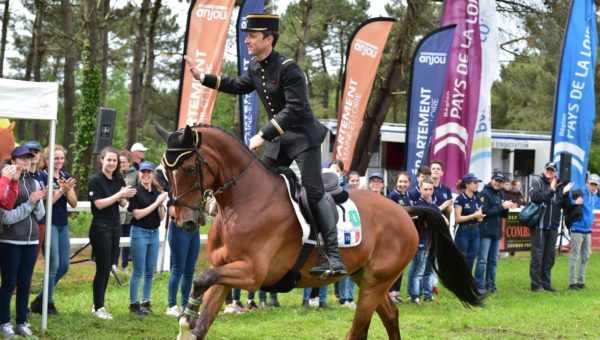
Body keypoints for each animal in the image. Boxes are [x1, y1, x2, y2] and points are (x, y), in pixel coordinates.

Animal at [158, 125, 482, 340]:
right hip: (365, 277)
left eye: (188, 168)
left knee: (359, 329)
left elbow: (201, 279)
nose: (184, 221)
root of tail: (404, 210)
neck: (241, 201)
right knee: (390, 316)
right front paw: (189, 320)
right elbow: (204, 308)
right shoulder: (225, 270)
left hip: (376, 282)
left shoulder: (252, 274)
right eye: (164, 170)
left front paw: (186, 318)